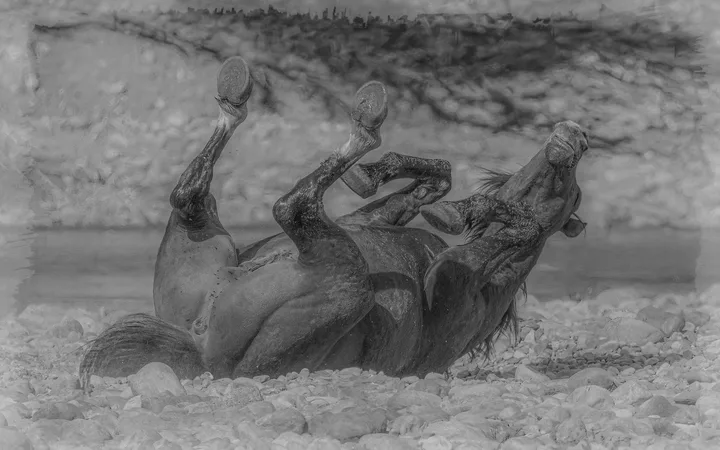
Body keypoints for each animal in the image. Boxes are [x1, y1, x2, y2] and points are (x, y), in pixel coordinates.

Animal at [79, 56, 589, 385]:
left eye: (573, 190)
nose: (572, 136)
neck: (490, 289)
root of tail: (200, 351)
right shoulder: (375, 218)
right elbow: (431, 182)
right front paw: (402, 183)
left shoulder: (460, 281)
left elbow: (521, 229)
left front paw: (473, 210)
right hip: (214, 241)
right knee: (196, 195)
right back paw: (242, 92)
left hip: (343, 277)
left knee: (287, 205)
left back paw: (359, 122)